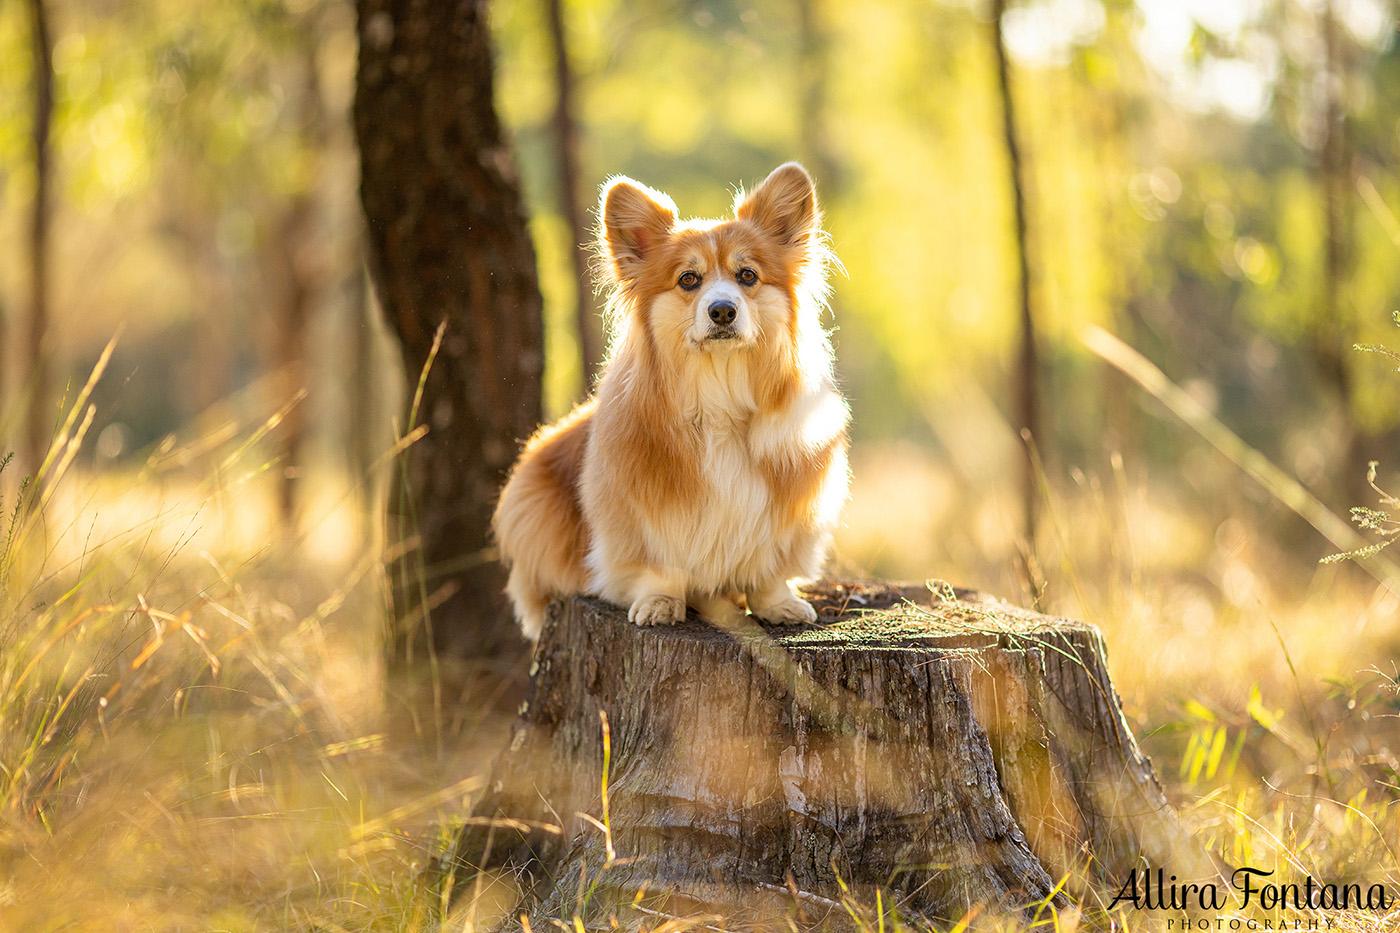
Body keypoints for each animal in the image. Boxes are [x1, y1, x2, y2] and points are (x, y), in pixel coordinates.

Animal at [492, 161, 845, 638]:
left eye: (747, 276)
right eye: (688, 280)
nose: (722, 311)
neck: (719, 389)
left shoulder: (792, 505)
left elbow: (768, 570)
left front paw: (779, 605)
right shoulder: (636, 517)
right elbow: (660, 567)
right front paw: (660, 603)